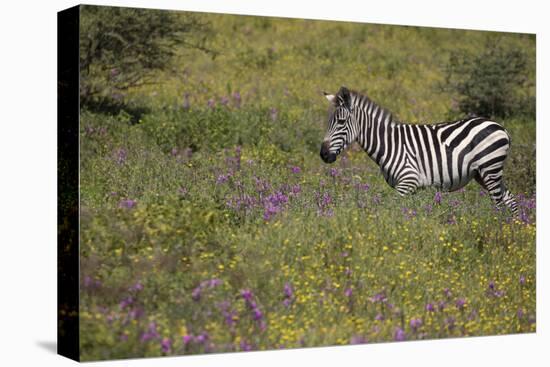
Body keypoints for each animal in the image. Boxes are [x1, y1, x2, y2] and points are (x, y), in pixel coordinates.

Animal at [322, 86, 520, 216]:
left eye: (340, 122)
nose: (323, 154)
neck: (389, 144)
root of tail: (501, 127)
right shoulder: (411, 187)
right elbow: (409, 212)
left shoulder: (407, 181)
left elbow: (393, 210)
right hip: (483, 173)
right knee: (510, 200)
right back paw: (515, 229)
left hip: (490, 168)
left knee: (499, 205)